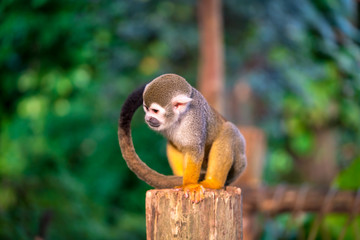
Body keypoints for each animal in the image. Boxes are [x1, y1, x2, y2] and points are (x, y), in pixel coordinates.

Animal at [119, 73, 246, 202]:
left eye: (154, 111)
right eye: (146, 108)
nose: (148, 118)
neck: (179, 117)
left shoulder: (194, 117)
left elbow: (193, 150)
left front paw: (190, 186)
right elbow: (177, 145)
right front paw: (185, 183)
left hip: (239, 165)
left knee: (229, 130)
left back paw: (213, 183)